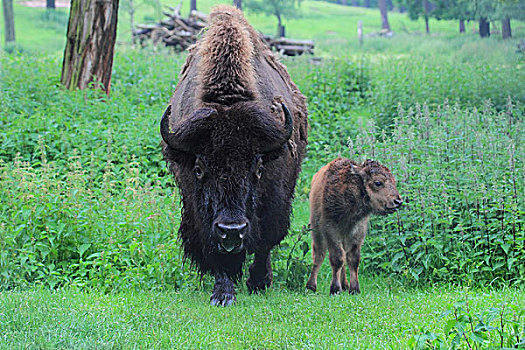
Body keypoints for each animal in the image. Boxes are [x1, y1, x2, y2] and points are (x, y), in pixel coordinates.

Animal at [160, 4, 308, 306]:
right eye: (199, 168)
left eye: (258, 167)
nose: (232, 230)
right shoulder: (198, 210)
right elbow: (213, 248)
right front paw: (223, 293)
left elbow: (265, 241)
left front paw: (259, 282)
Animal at [302, 159, 402, 296]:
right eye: (378, 182)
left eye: (394, 181)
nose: (398, 201)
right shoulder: (330, 230)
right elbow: (337, 258)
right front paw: (335, 289)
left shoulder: (357, 233)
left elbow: (352, 259)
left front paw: (354, 289)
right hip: (316, 230)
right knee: (319, 255)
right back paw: (311, 286)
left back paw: (344, 285)